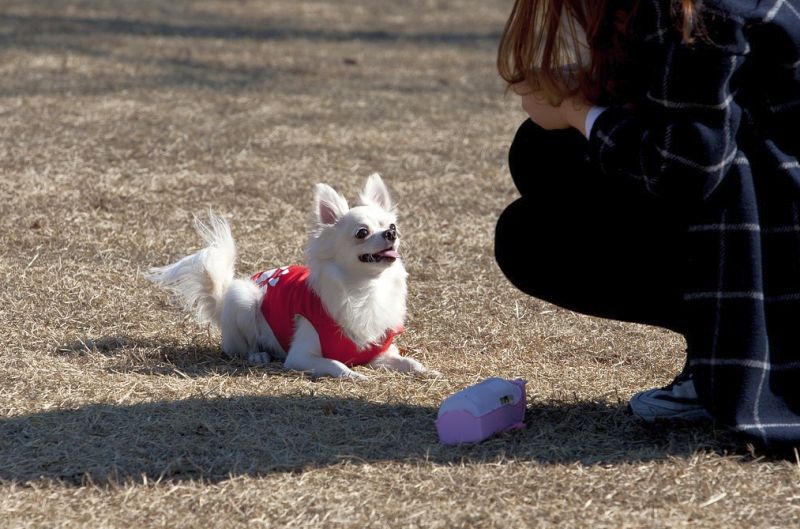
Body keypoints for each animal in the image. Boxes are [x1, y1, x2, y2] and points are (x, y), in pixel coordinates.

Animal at [146, 175, 428, 378]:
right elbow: (335, 364)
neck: (365, 288)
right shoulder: (300, 357)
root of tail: (222, 302)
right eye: (362, 233)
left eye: (392, 226)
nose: (391, 234)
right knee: (242, 347)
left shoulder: (380, 353)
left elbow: (409, 361)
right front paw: (355, 375)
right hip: (244, 298)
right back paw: (258, 355)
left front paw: (426, 371)